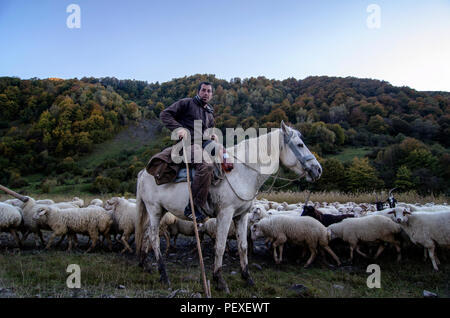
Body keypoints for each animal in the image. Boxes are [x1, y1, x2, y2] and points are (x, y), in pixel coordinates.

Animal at [135, 121, 322, 294]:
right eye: (300, 144)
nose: (318, 170)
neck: (242, 172)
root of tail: (144, 172)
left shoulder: (242, 215)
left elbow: (243, 246)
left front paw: (248, 278)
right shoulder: (225, 214)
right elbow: (220, 246)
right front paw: (219, 280)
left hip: (159, 211)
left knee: (146, 234)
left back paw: (145, 264)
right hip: (154, 209)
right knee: (154, 238)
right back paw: (163, 274)